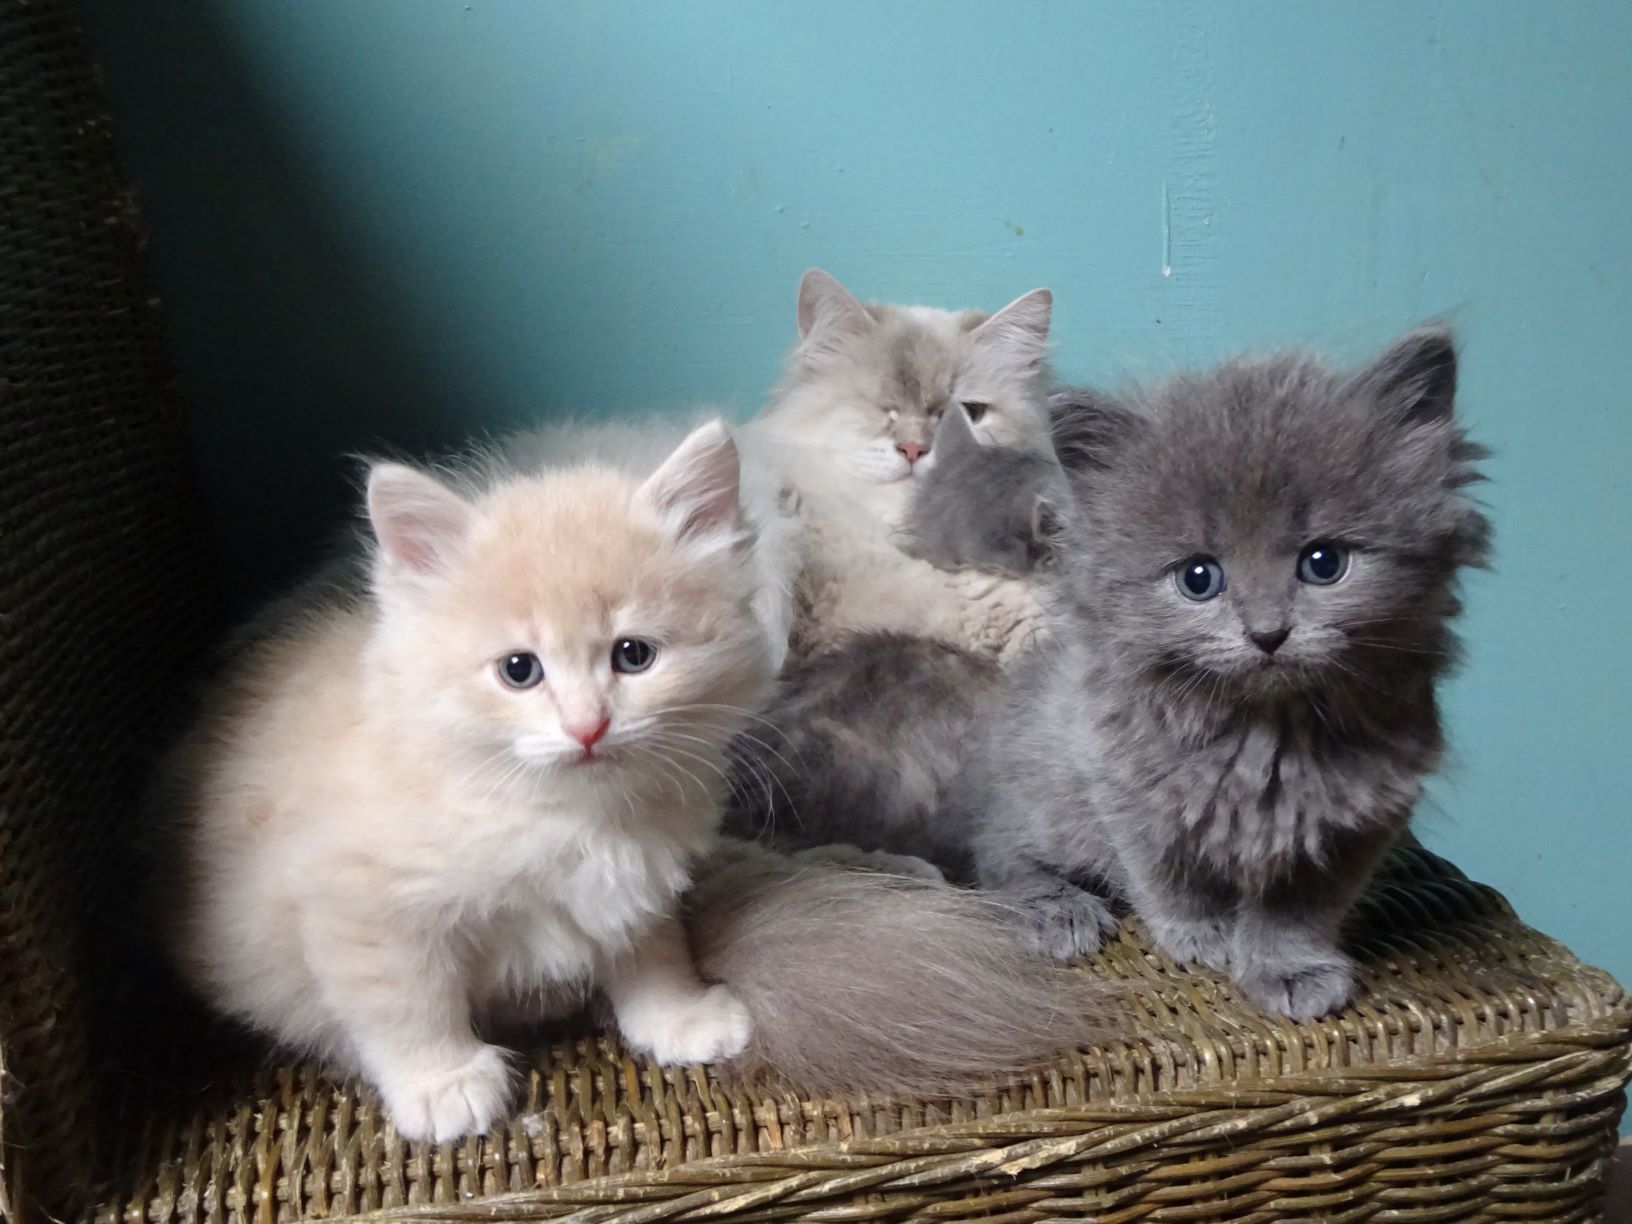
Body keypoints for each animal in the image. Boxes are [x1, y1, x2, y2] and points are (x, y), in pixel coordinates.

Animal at [162, 427, 773, 1148]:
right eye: (519, 670)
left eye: (634, 655)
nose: (588, 727)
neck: (575, 817)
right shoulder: (362, 904)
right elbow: (407, 1002)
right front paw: (441, 1084)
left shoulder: (639, 885)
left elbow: (652, 947)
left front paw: (677, 1016)